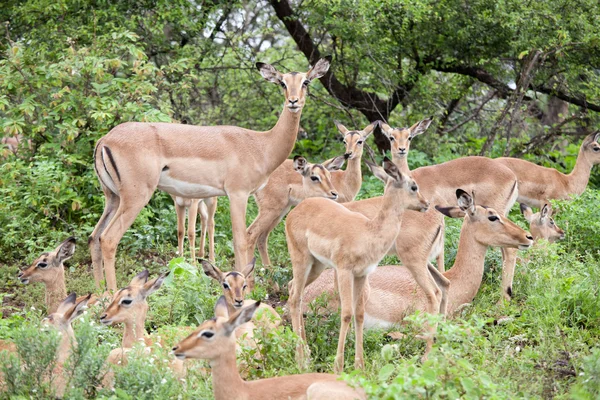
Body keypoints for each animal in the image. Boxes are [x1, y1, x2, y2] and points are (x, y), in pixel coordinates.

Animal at [89, 57, 330, 290]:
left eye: (306, 82)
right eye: (282, 83)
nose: (293, 102)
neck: (260, 144)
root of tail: (105, 140)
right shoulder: (238, 194)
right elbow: (241, 240)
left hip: (113, 198)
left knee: (94, 238)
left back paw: (100, 293)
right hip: (135, 197)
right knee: (108, 239)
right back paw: (112, 295)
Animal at [284, 156, 428, 372]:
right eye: (413, 186)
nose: (426, 203)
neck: (369, 231)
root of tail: (297, 210)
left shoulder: (362, 274)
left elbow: (359, 314)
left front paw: (360, 365)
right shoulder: (345, 271)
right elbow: (346, 313)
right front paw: (338, 366)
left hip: (316, 266)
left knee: (293, 289)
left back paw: (305, 355)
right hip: (301, 260)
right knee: (295, 298)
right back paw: (301, 360)